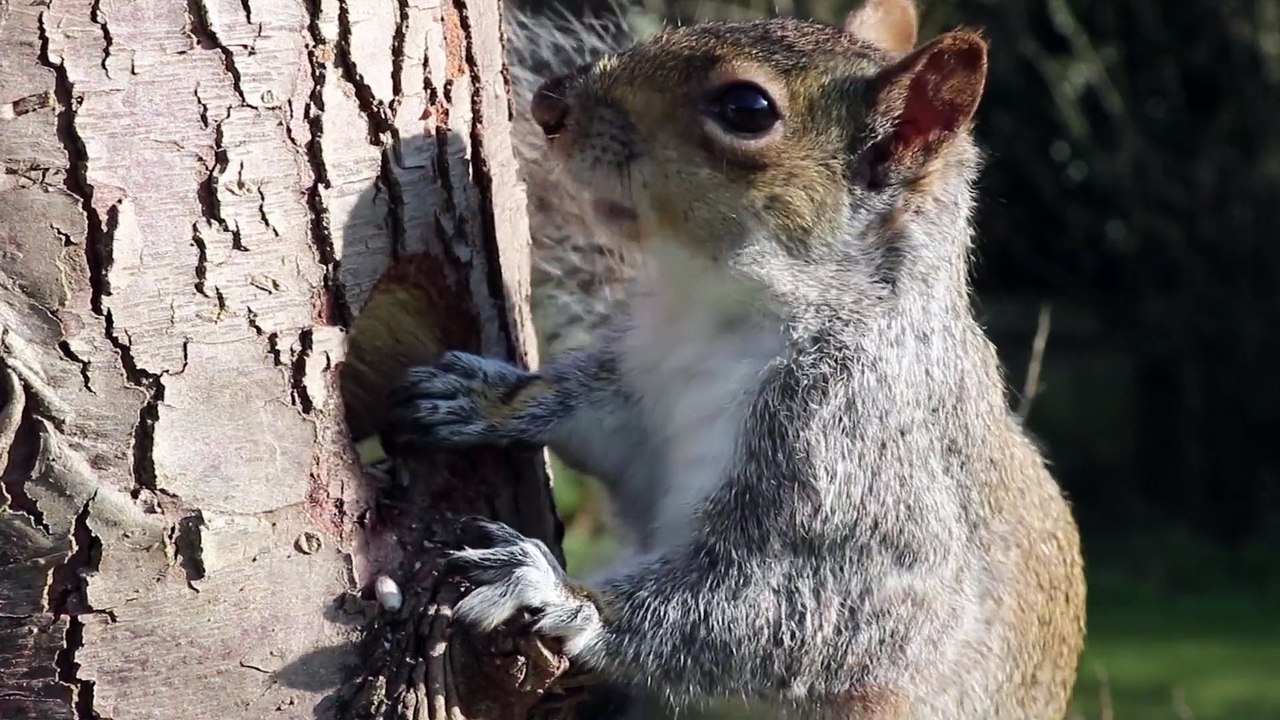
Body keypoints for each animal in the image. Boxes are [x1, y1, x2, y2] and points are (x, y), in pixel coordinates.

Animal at [384, 0, 1088, 718]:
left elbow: (787, 609)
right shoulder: (645, 397)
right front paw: (493, 399)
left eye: (746, 108)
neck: (714, 312)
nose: (549, 104)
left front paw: (561, 593)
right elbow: (597, 419)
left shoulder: (862, 461)